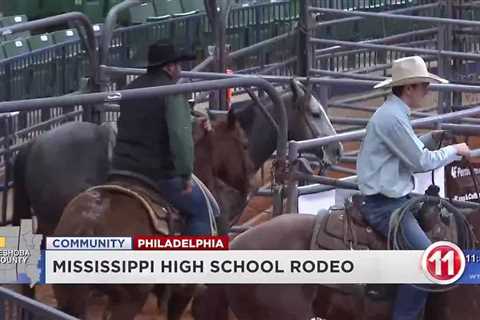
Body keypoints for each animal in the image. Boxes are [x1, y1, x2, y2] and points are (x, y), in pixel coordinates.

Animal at [49, 114, 255, 318]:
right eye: (245, 144)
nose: (250, 182)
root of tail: (88, 226)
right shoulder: (182, 293)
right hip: (127, 300)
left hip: (70, 294)